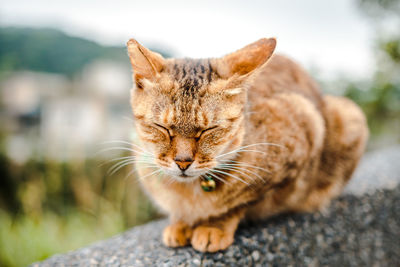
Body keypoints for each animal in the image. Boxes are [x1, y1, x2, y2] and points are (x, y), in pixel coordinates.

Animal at [126, 37, 368, 253]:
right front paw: (181, 223)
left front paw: (213, 225)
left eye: (208, 130)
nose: (183, 162)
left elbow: (238, 203)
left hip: (349, 115)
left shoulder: (306, 124)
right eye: (162, 127)